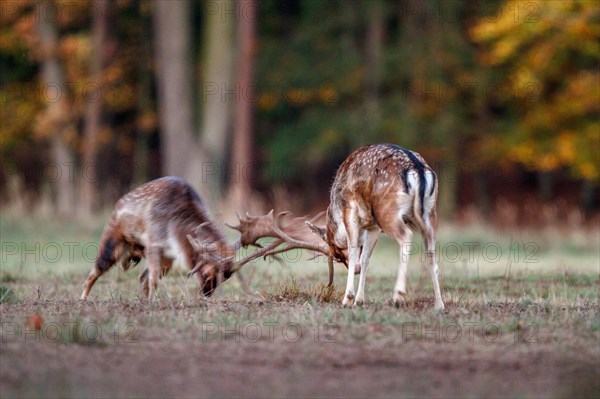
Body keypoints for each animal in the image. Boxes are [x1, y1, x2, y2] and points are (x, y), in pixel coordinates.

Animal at [78, 177, 332, 302]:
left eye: (226, 278)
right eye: (208, 272)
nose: (206, 295)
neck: (175, 228)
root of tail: (118, 203)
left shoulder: (169, 254)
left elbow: (149, 279)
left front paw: (150, 301)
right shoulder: (153, 242)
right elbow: (153, 279)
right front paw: (152, 303)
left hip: (163, 259)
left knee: (141, 277)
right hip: (113, 237)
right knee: (94, 272)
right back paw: (82, 300)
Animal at [304, 145, 446, 310]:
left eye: (336, 255)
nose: (356, 271)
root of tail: (418, 169)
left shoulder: (350, 211)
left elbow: (354, 252)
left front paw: (348, 298)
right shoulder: (373, 226)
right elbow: (365, 258)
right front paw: (359, 300)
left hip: (386, 211)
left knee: (406, 235)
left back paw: (398, 295)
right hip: (430, 213)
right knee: (431, 252)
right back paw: (439, 304)